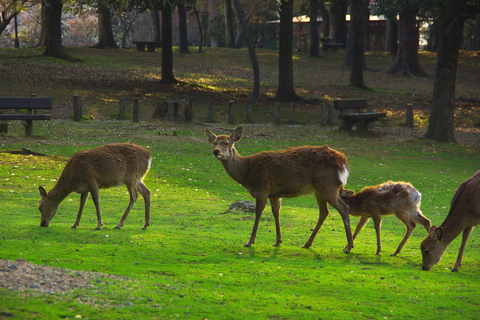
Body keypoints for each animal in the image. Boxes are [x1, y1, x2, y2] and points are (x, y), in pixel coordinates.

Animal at [204, 126, 354, 251]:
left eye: (226, 143)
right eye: (214, 142)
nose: (216, 151)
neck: (246, 172)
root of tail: (343, 162)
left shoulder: (262, 188)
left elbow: (258, 213)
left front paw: (249, 241)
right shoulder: (274, 194)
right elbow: (276, 213)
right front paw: (278, 241)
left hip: (327, 185)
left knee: (344, 208)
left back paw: (348, 247)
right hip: (319, 189)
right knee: (324, 212)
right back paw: (307, 243)